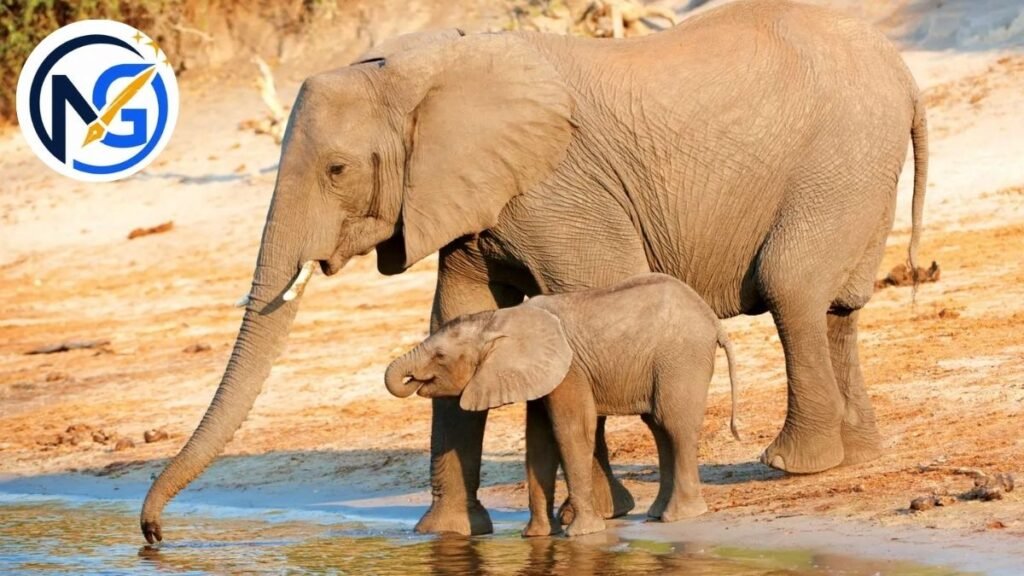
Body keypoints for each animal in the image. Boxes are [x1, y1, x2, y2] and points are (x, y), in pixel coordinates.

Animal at [385, 273, 742, 537]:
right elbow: (539, 442)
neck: (499, 320)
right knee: (657, 427)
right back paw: (657, 514)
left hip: (681, 357)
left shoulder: (569, 370)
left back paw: (679, 516)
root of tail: (712, 320)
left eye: (440, 356)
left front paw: (581, 534)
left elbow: (571, 431)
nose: (411, 379)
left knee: (673, 424)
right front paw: (537, 536)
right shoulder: (543, 374)